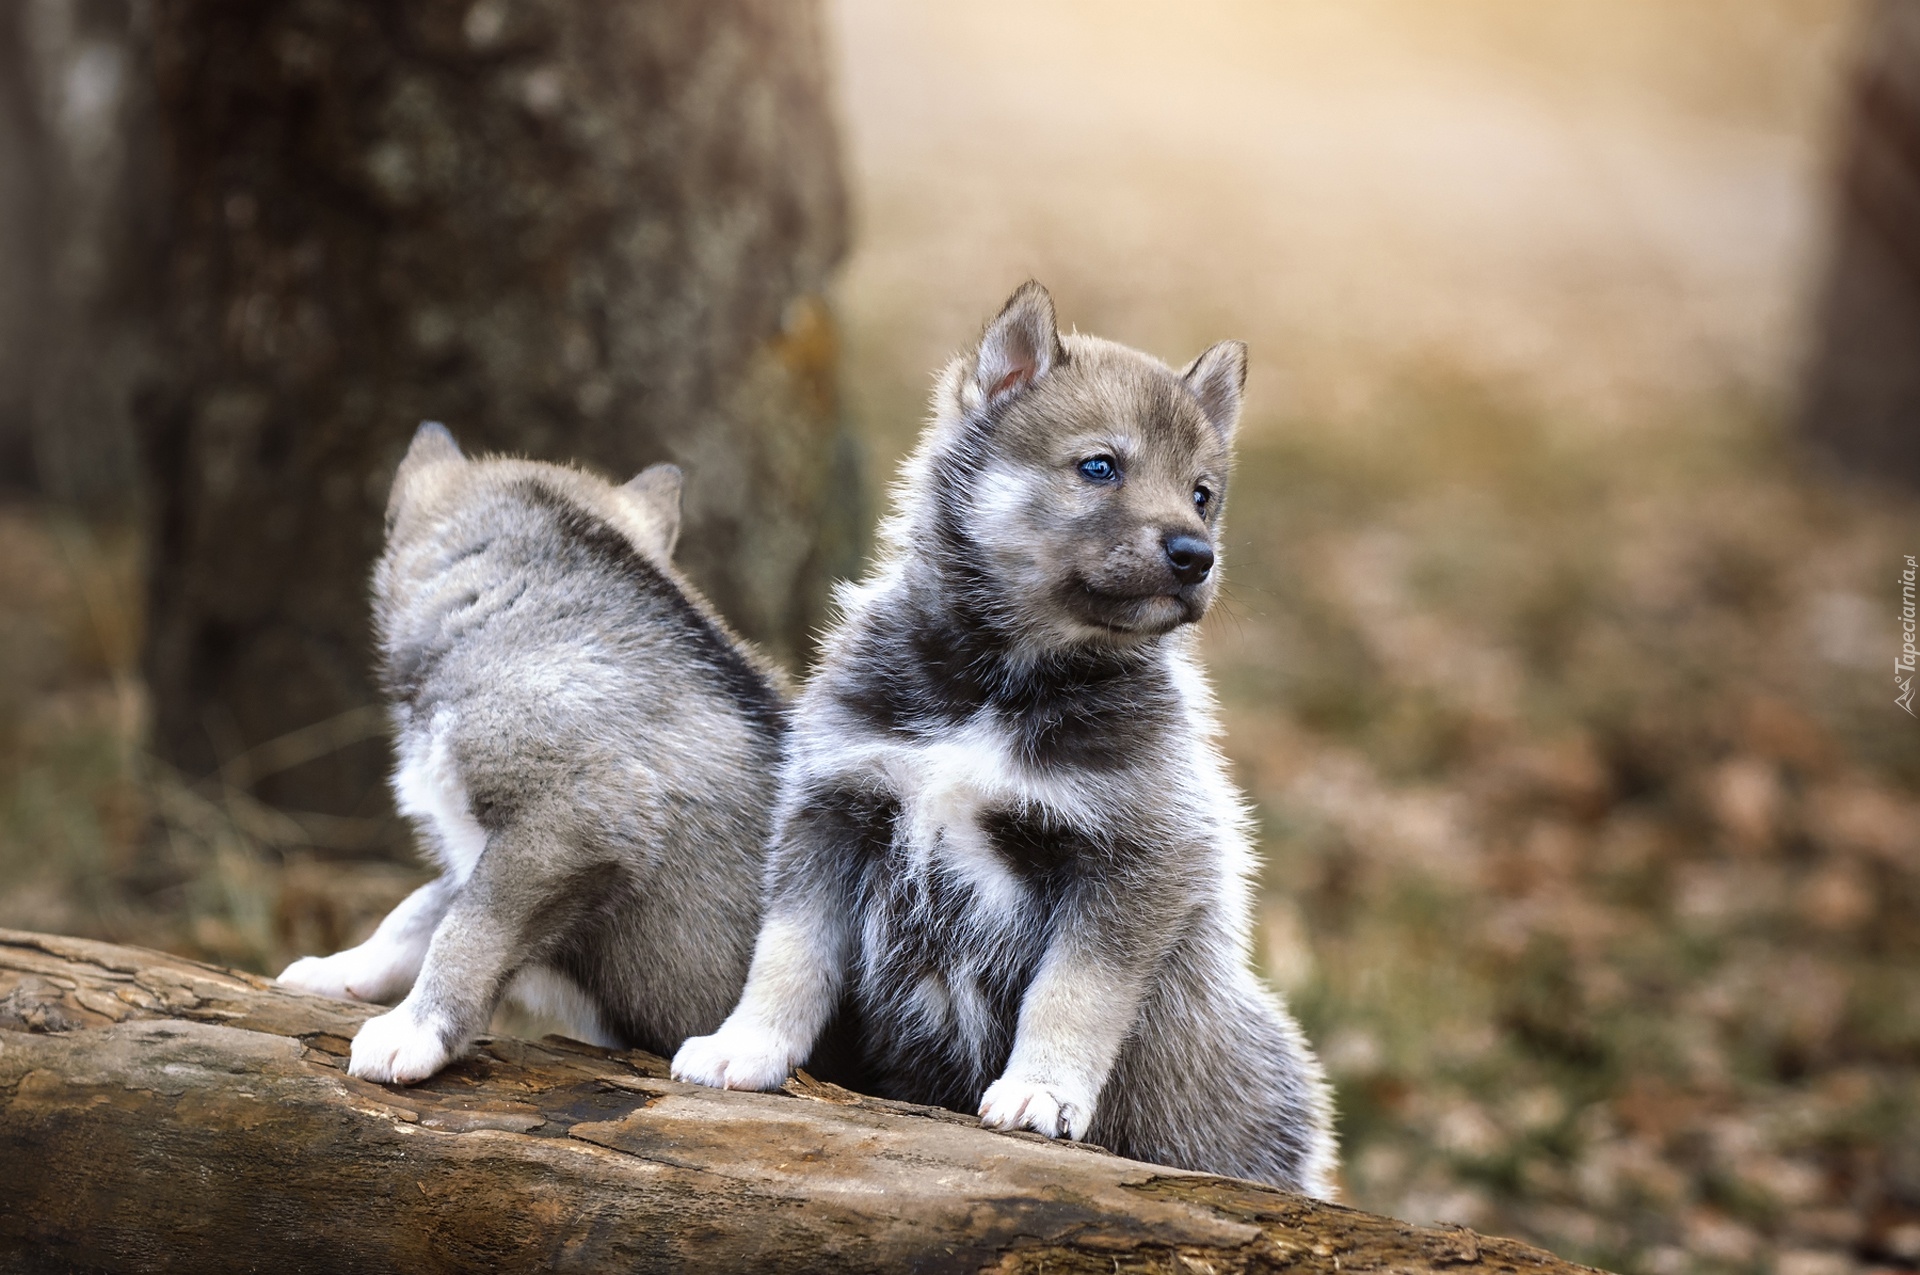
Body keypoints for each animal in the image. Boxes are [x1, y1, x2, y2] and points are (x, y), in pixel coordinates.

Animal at [274, 422, 783, 1082]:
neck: (523, 605)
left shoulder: (565, 822)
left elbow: (464, 930)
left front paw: (414, 1030)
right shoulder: (484, 844)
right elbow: (418, 909)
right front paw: (340, 971)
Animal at [675, 282, 1336, 1198]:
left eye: (1203, 493)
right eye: (1100, 466)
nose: (1195, 555)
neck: (996, 685)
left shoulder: (1132, 859)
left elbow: (1071, 994)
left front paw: (1041, 1092)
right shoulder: (832, 809)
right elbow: (787, 953)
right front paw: (747, 1045)